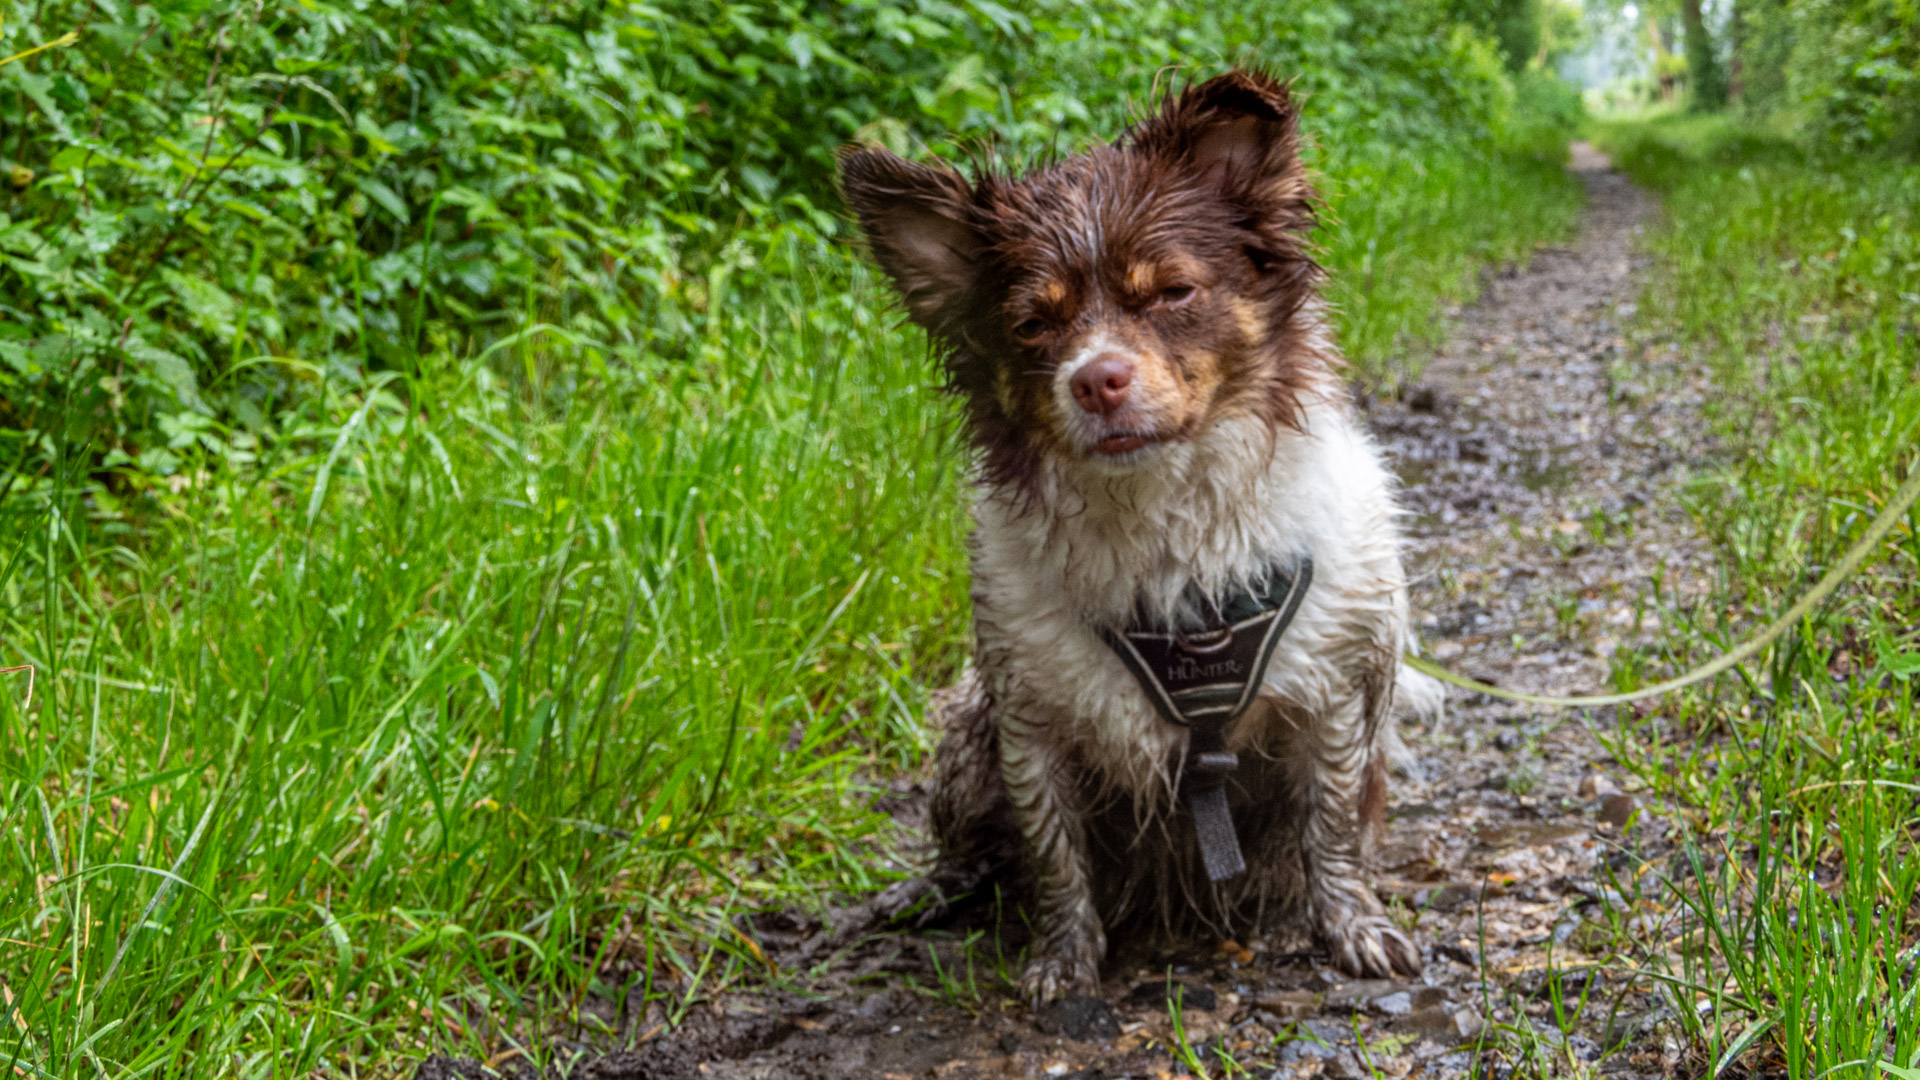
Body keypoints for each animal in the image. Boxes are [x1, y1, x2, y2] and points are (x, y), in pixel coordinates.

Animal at [837, 67, 1443, 999]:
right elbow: (1055, 856)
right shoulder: (1028, 723)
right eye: (1032, 325)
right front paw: (1063, 958)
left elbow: (1331, 828)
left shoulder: (1334, 697)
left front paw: (1351, 925)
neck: (1162, 526)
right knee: (967, 850)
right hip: (968, 738)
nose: (1097, 380)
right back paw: (924, 892)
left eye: (1170, 293)